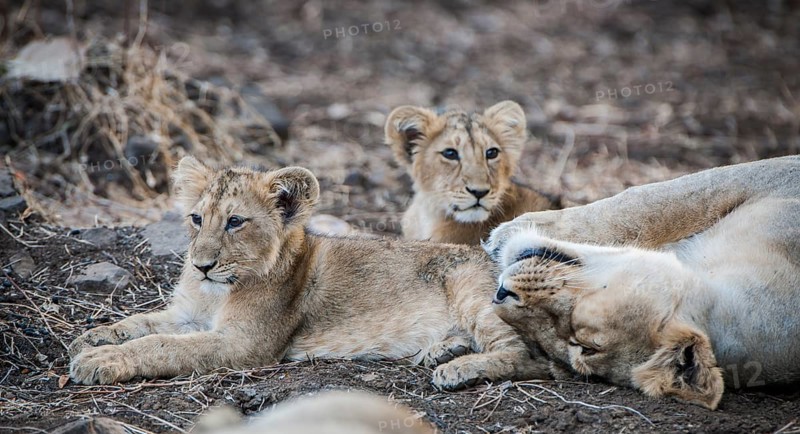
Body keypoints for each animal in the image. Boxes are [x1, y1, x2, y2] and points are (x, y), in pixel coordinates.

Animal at [68, 157, 547, 389]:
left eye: (235, 222)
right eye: (196, 219)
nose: (201, 265)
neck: (214, 291)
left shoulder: (245, 344)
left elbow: (162, 345)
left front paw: (99, 361)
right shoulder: (188, 315)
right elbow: (143, 324)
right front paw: (93, 338)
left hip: (471, 289)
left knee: (530, 357)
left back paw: (459, 369)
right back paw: (443, 350)